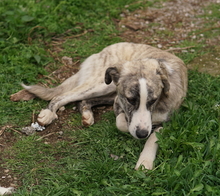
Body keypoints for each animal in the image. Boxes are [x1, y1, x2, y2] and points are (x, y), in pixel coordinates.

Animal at [22, 43, 187, 170]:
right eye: (130, 100)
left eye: (153, 101)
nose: (141, 134)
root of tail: (103, 50)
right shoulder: (118, 103)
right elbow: (121, 123)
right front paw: (131, 130)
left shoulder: (168, 122)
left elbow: (153, 138)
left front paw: (145, 161)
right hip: (102, 84)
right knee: (61, 96)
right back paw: (48, 113)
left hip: (108, 91)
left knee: (83, 101)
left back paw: (87, 115)